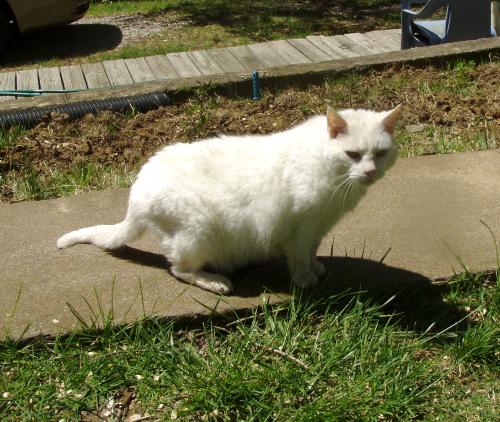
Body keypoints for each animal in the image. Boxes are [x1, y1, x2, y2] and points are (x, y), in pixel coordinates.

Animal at [57, 106, 402, 294]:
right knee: (178, 269)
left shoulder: (319, 225)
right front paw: (303, 277)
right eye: (353, 154)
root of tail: (137, 192)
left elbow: (312, 251)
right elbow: (299, 255)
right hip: (199, 230)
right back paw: (215, 281)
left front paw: (315, 268)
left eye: (380, 153)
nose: (370, 171)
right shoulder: (301, 226)